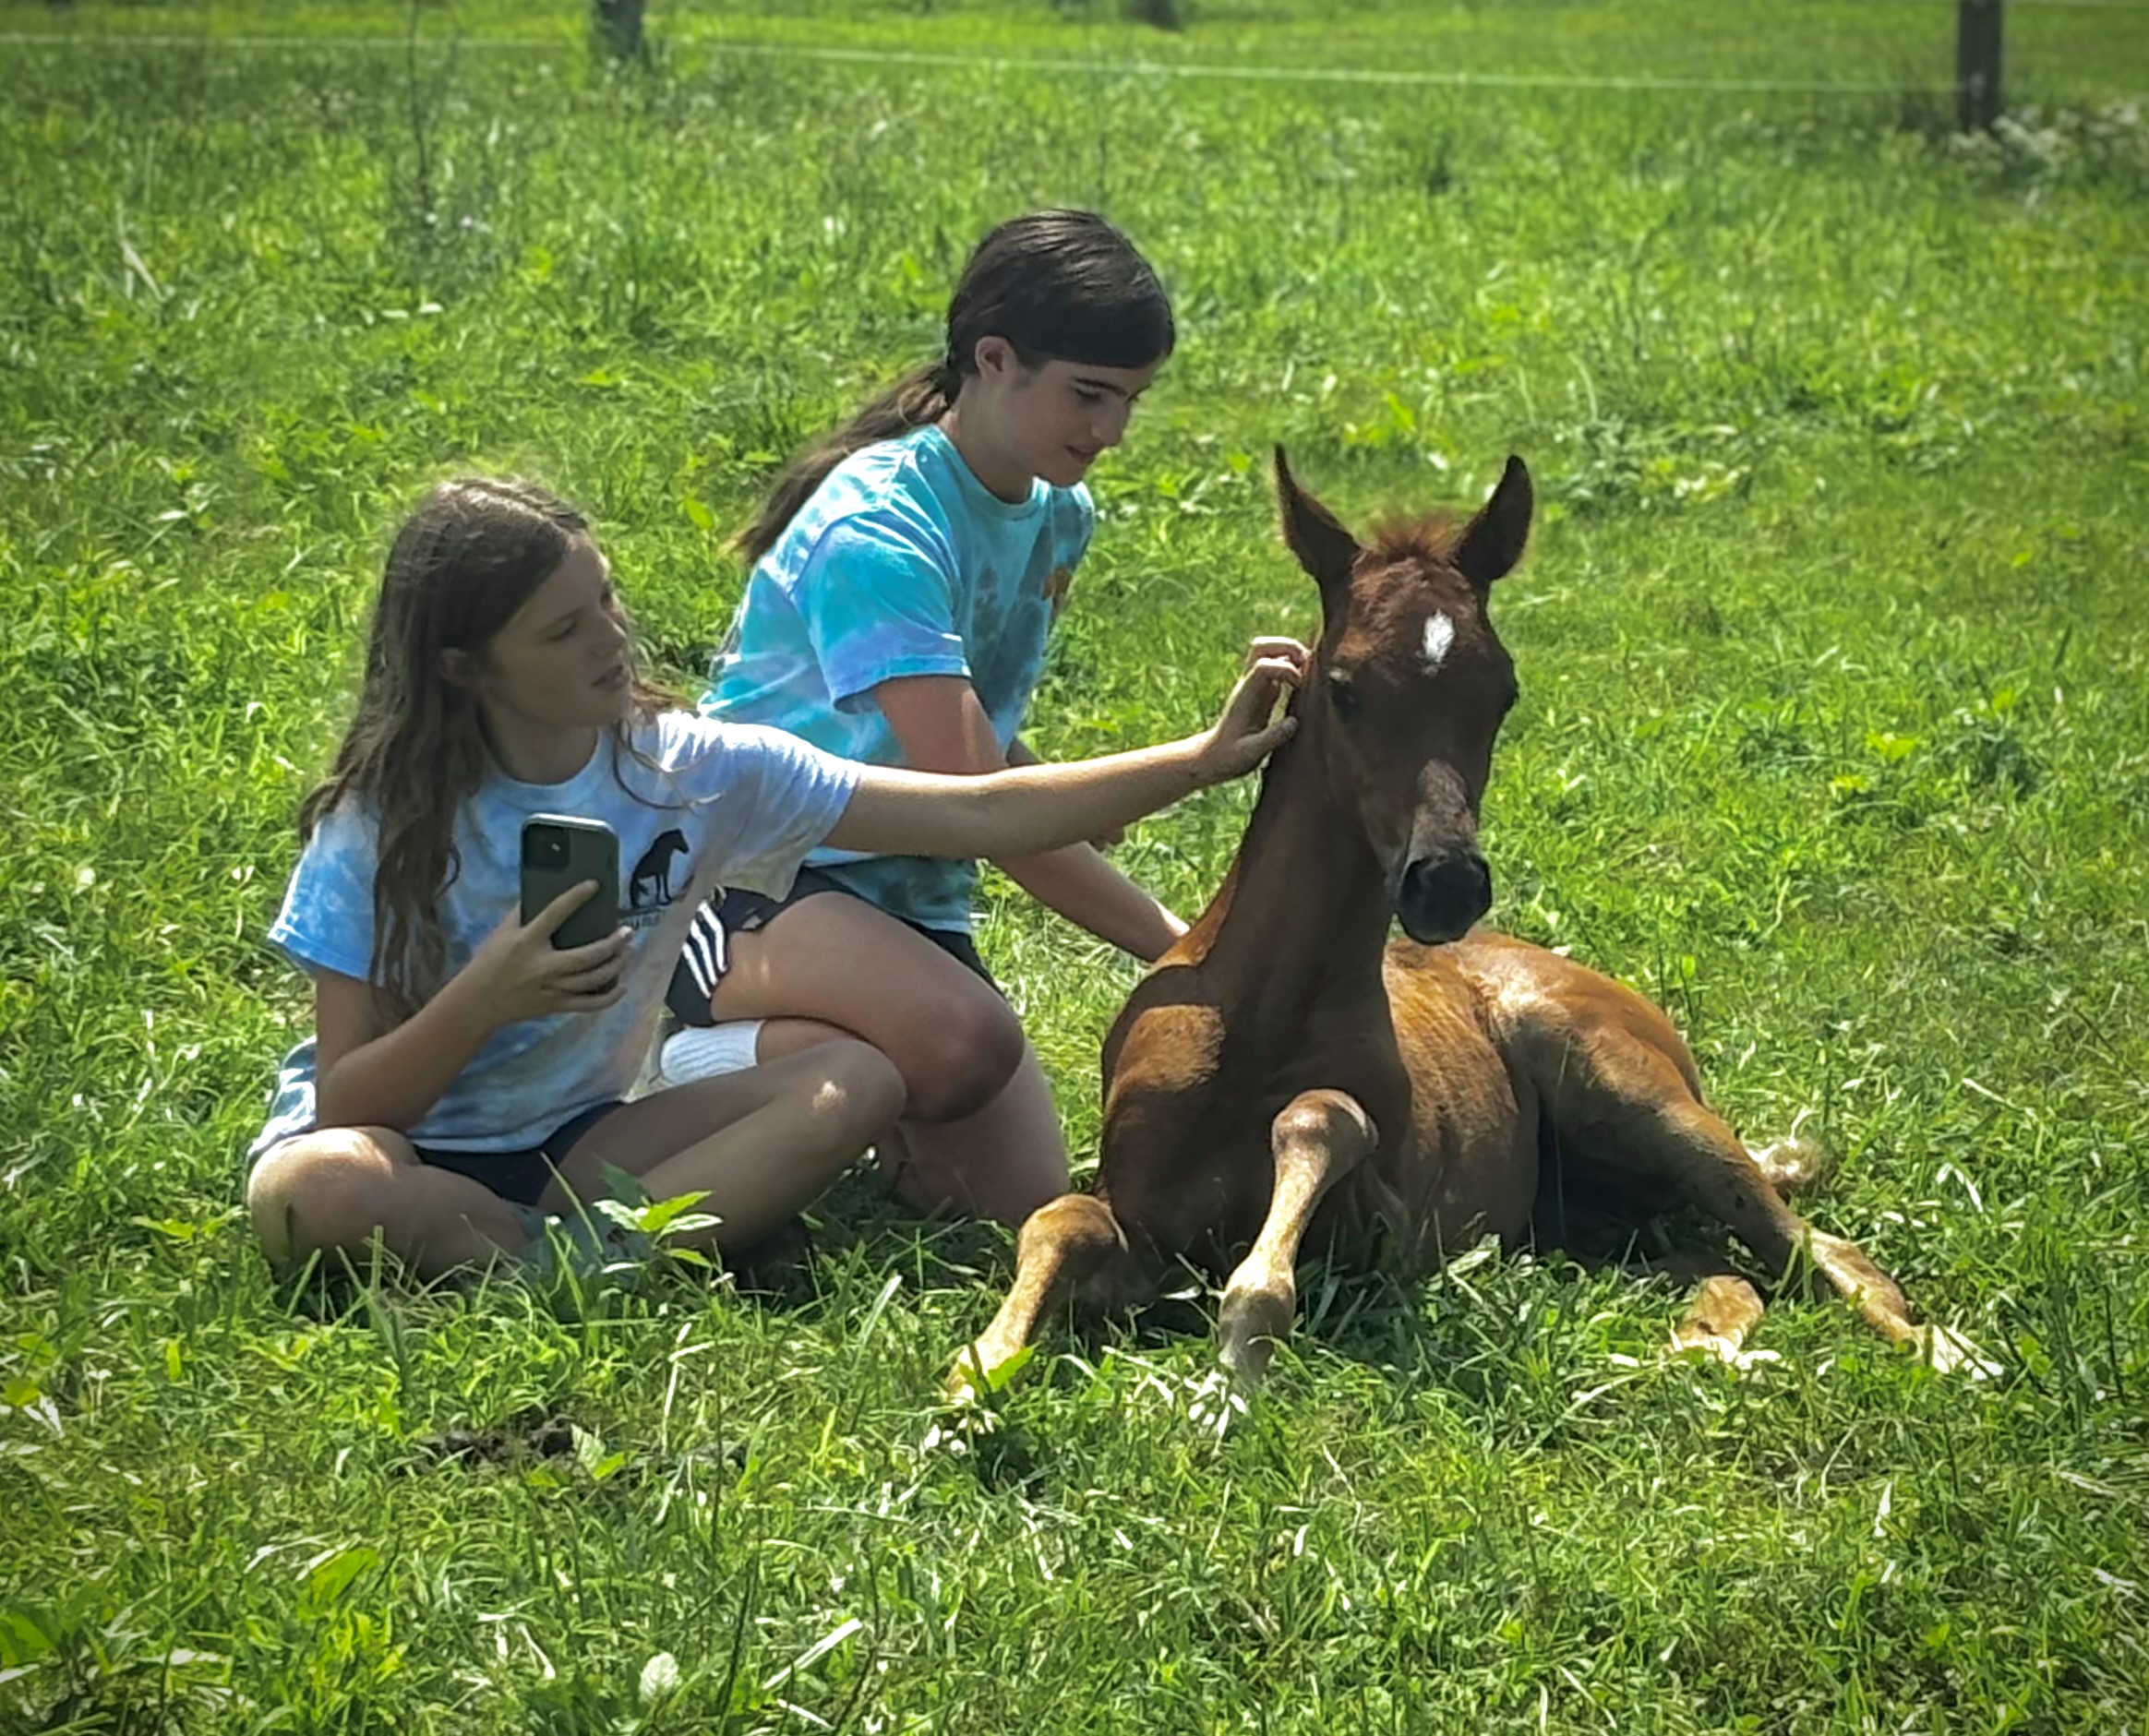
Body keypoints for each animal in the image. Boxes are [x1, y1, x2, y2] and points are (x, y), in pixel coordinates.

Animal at [954, 450, 1981, 1398]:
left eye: (1502, 691)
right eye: (1344, 686)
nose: (1444, 882)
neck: (1258, 1015)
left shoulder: (1386, 1230)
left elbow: (1320, 1120)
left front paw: (1239, 1359)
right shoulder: (1142, 1219)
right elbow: (1061, 1221)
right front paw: (974, 1378)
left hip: (1638, 1099)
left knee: (1817, 1249)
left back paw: (1947, 1352)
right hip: (1583, 1225)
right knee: (1721, 1267)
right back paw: (1695, 1347)